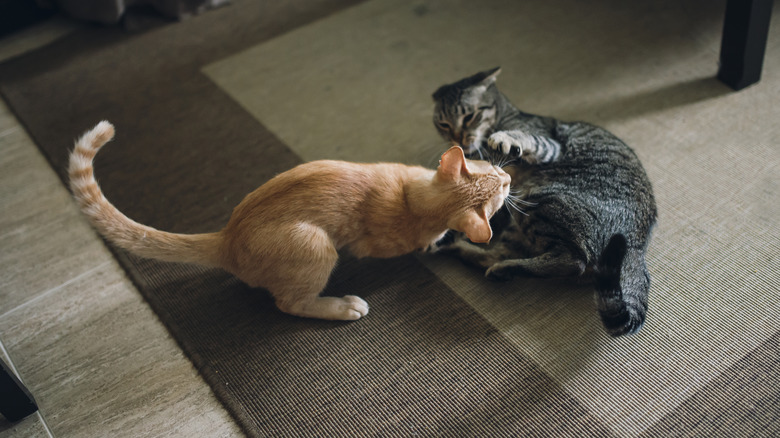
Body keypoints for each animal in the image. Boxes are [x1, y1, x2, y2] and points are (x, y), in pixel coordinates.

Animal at [68, 121, 512, 320]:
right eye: (497, 180)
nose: (509, 178)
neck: (411, 199)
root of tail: (227, 236)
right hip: (316, 245)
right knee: (290, 304)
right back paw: (341, 306)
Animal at [430, 67, 656, 336]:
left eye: (469, 116)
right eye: (443, 124)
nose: (460, 139)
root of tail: (636, 247)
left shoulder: (549, 146)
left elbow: (528, 139)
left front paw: (504, 139)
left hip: (539, 199)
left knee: (573, 260)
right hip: (521, 219)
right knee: (499, 254)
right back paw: (474, 256)